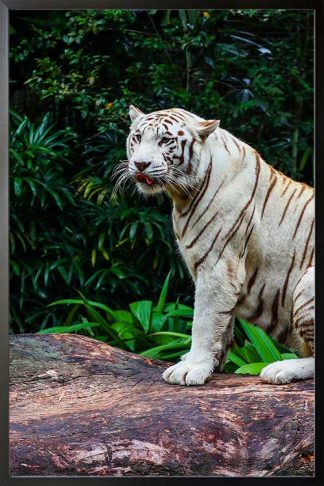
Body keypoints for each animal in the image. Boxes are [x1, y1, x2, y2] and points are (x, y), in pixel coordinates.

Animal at [122, 104, 314, 386]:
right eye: (137, 138)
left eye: (165, 140)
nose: (140, 164)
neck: (182, 196)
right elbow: (222, 322)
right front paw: (211, 363)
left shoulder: (218, 266)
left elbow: (204, 320)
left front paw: (191, 368)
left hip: (308, 282)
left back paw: (280, 369)